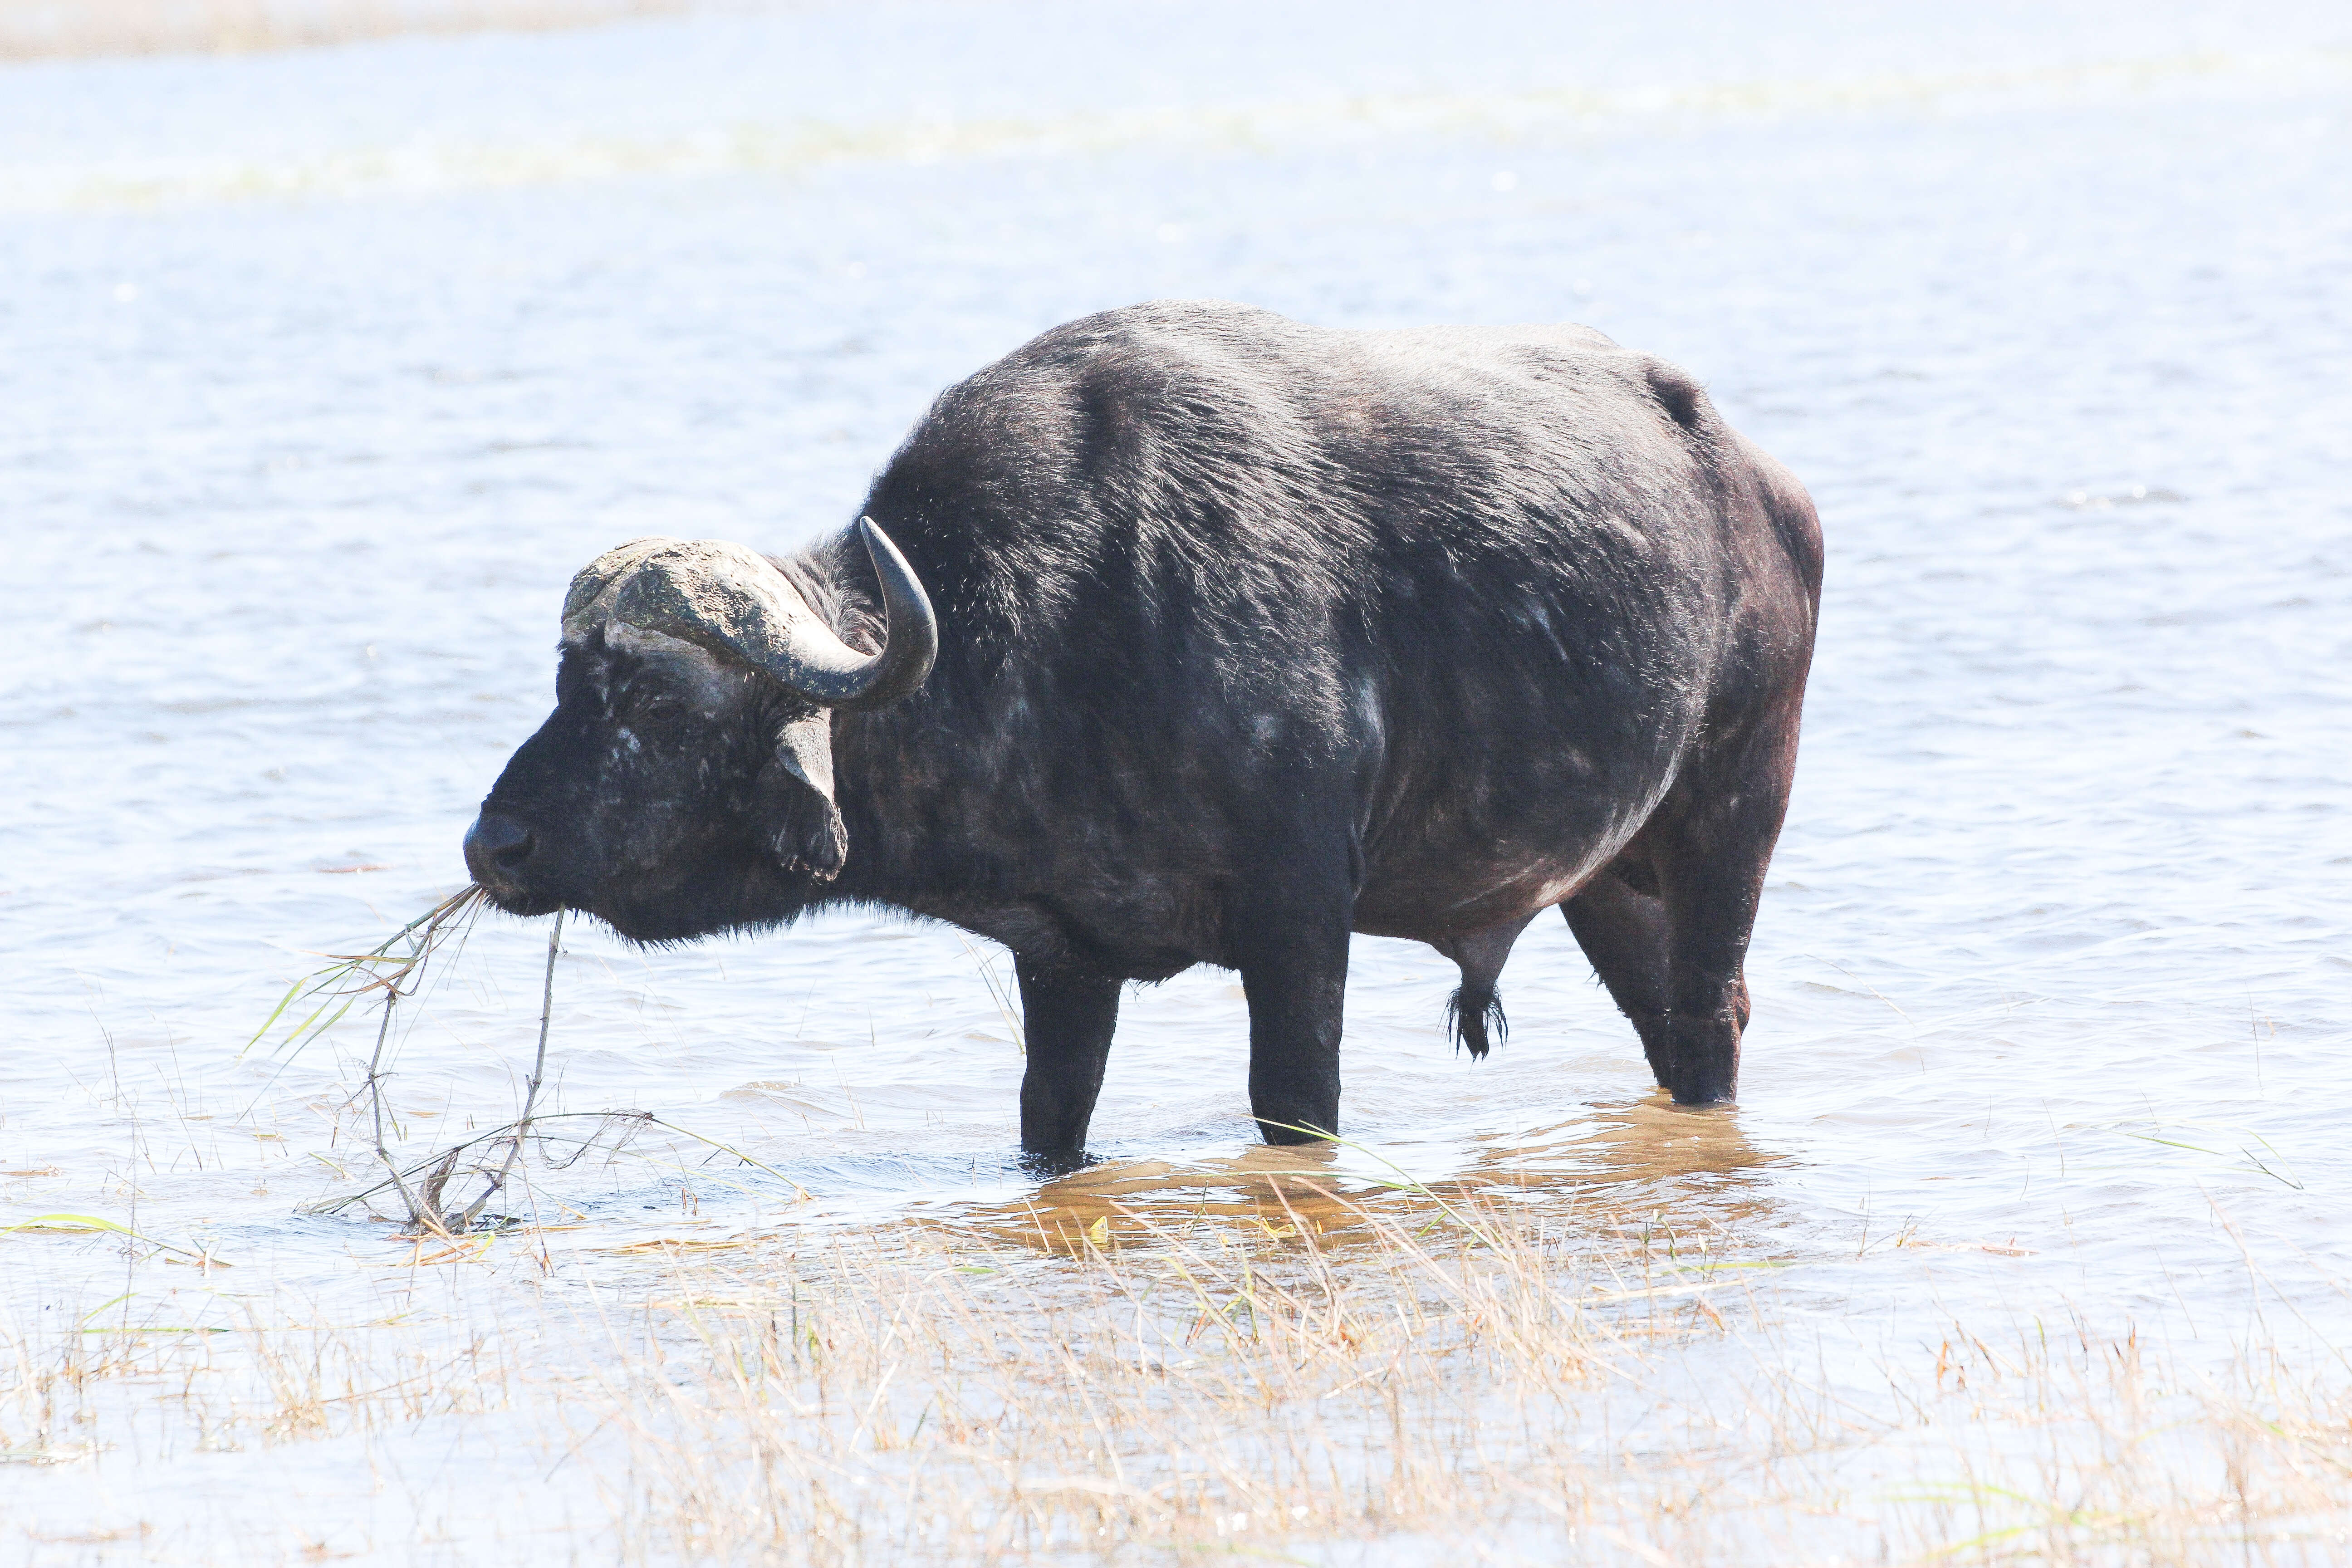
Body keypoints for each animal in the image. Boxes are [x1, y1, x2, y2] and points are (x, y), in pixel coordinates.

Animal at [458, 303, 1816, 1166]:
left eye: (652, 702)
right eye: (565, 681)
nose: (494, 845)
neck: (1054, 616)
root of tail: (1754, 478)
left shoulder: (1298, 916)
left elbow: (1293, 1102)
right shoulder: (1062, 961)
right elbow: (1049, 1112)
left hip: (1733, 810)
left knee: (1708, 1016)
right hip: (1605, 878)